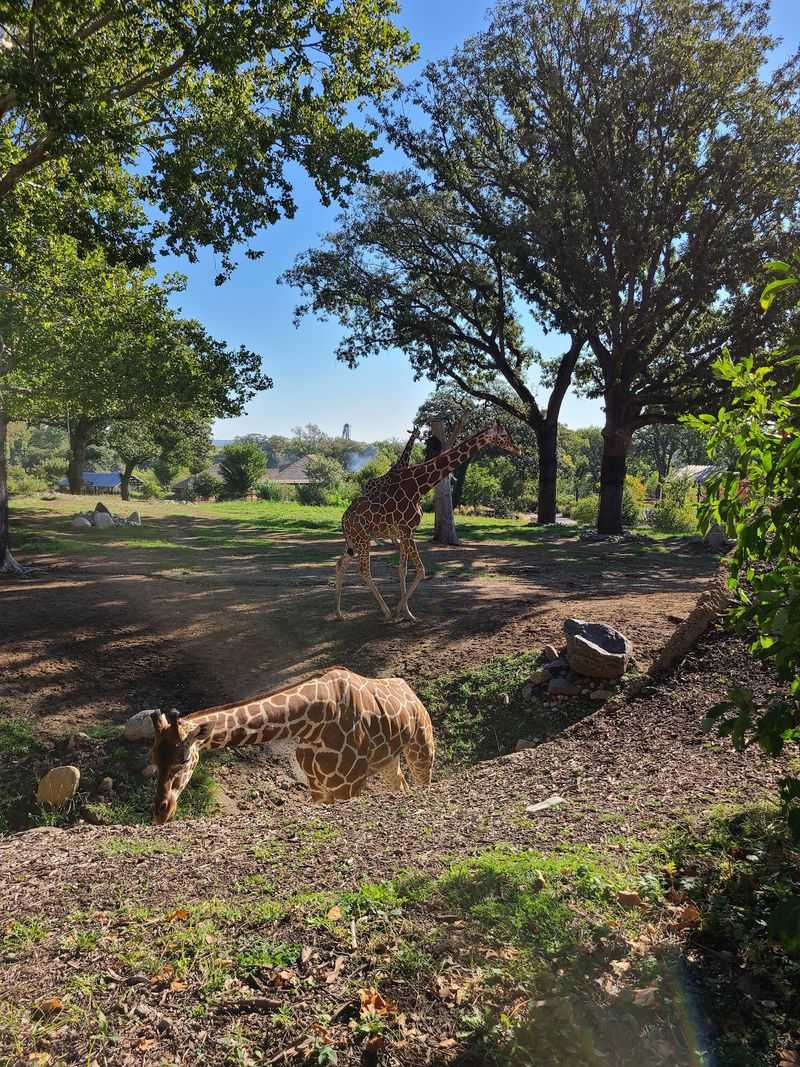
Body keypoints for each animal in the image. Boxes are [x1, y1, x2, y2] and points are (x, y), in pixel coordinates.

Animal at [148, 667, 435, 824]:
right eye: (152, 759)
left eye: (184, 759)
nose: (161, 812)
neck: (312, 723)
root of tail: (409, 690)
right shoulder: (318, 785)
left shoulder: (348, 786)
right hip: (388, 759)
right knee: (401, 784)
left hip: (422, 746)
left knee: (423, 780)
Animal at [336, 422, 519, 622]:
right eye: (503, 435)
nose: (517, 449)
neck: (420, 486)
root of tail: (344, 518)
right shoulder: (406, 531)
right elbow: (420, 570)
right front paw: (399, 611)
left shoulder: (407, 533)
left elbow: (403, 569)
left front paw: (406, 612)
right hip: (362, 539)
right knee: (363, 571)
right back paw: (385, 612)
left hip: (354, 541)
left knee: (340, 564)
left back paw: (340, 614)